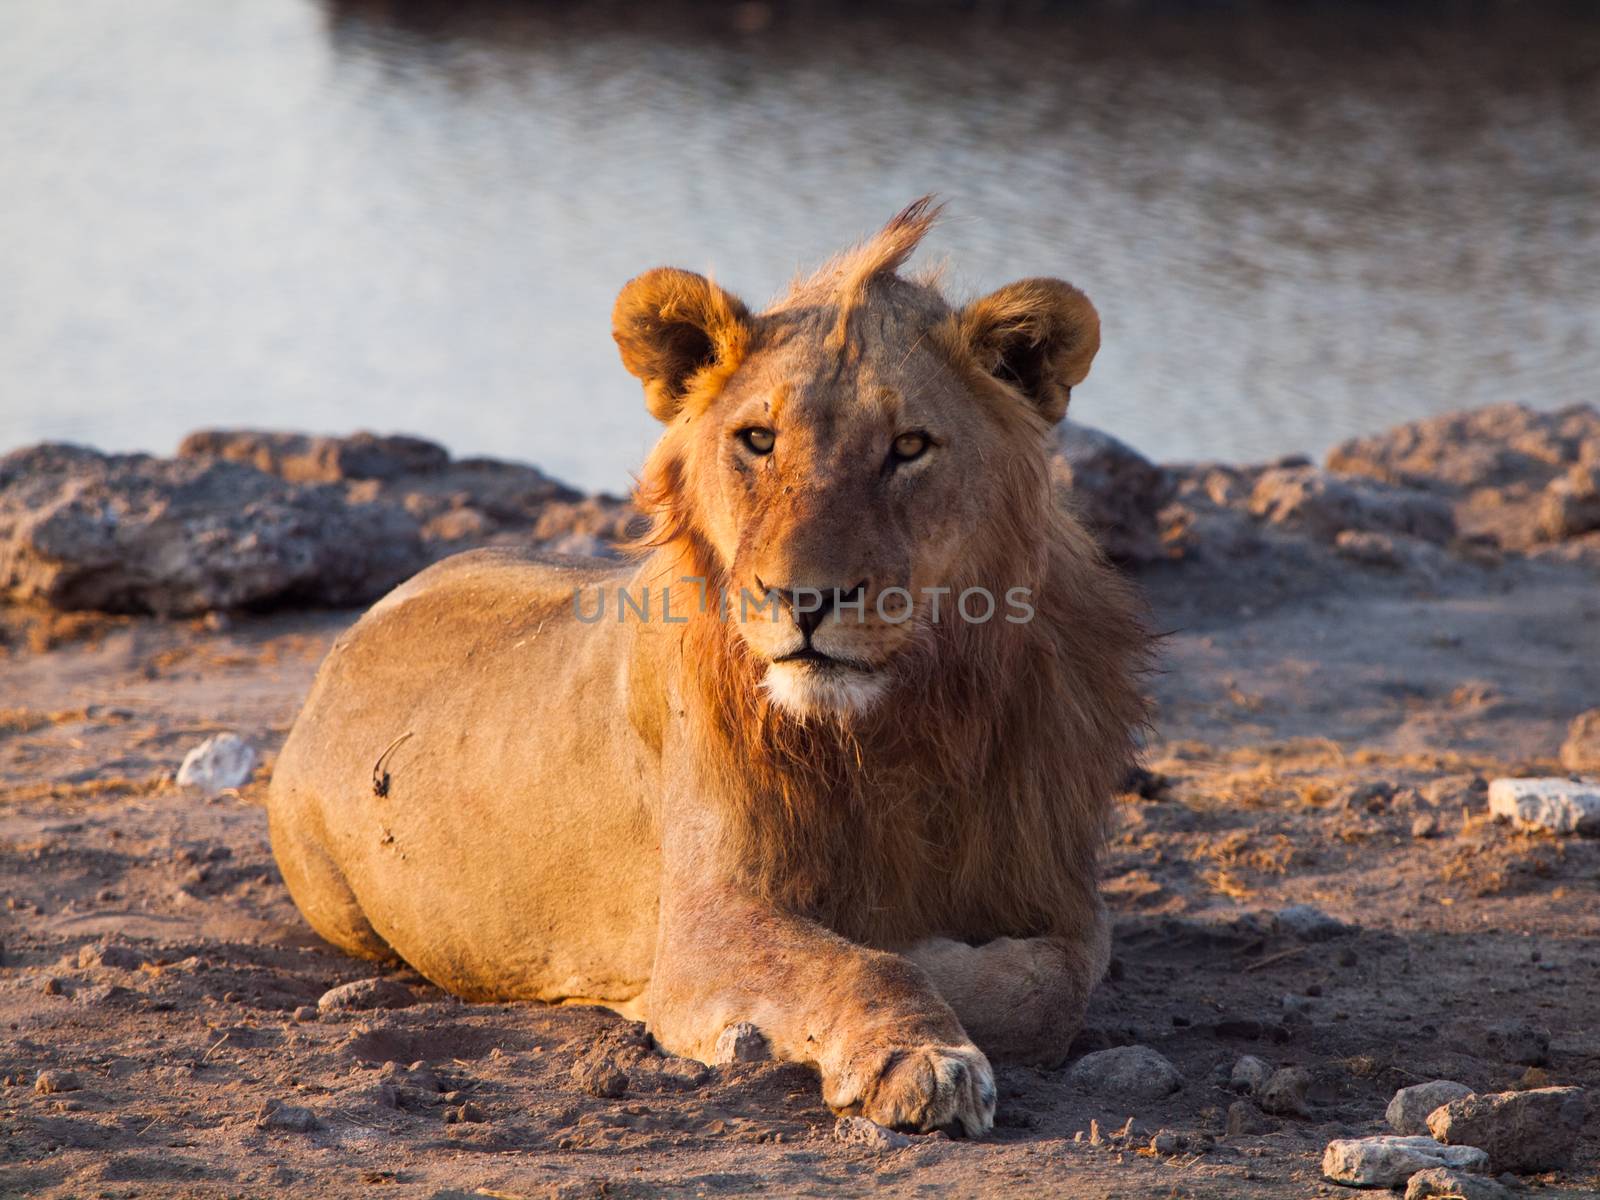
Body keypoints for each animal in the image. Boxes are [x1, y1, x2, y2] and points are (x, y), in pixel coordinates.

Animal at [272, 202, 1152, 1139]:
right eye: (758, 440)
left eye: (909, 446)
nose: (806, 598)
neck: (900, 728)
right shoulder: (704, 921)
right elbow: (860, 963)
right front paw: (911, 1052)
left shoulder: (1066, 895)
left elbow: (1045, 984)